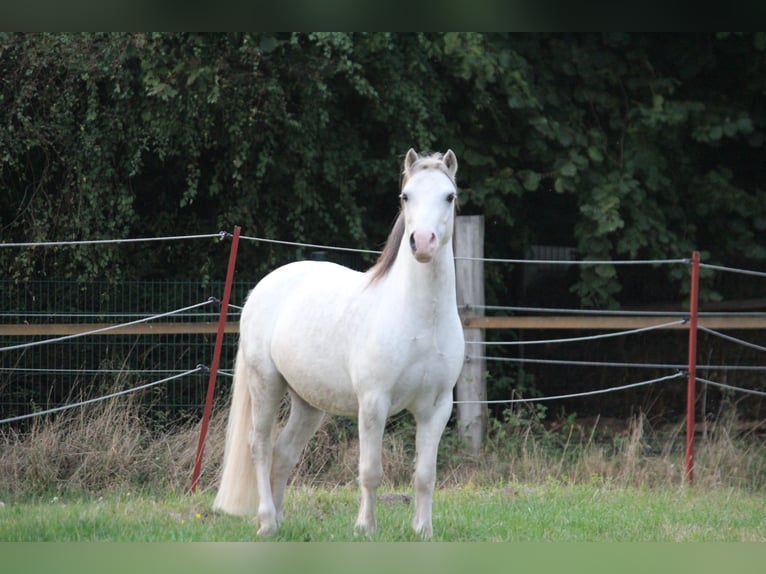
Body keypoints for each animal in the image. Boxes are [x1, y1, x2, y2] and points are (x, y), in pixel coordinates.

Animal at [212, 149, 465, 539]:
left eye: (449, 196)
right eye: (406, 196)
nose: (423, 242)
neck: (422, 319)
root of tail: (262, 288)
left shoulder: (436, 408)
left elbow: (425, 474)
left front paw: (423, 530)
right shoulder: (374, 403)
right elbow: (371, 471)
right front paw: (365, 527)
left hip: (308, 403)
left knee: (284, 452)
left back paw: (278, 521)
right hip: (265, 383)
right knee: (260, 445)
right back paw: (267, 522)